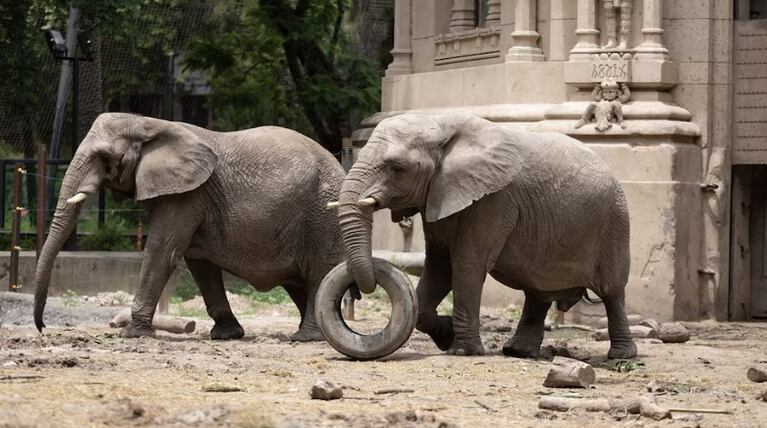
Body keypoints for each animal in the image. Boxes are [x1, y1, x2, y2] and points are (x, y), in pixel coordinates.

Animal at [33, 113, 344, 342]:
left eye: (104, 158)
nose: (42, 328)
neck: (148, 123)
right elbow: (198, 261)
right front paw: (226, 335)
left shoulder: (188, 195)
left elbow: (163, 251)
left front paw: (133, 333)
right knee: (298, 282)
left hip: (322, 216)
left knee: (318, 273)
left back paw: (306, 337)